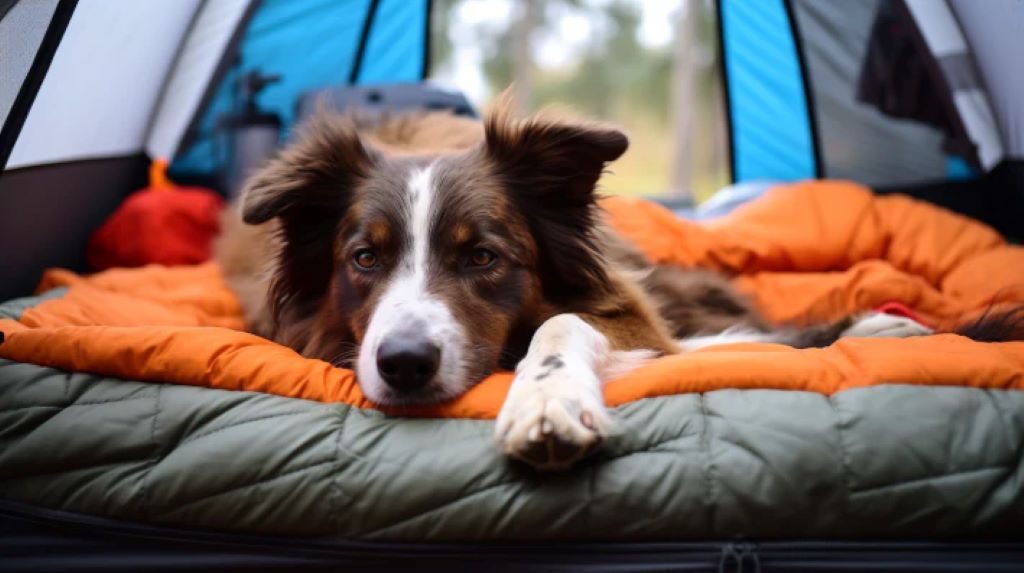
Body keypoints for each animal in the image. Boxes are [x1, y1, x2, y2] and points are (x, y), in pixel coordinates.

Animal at [218, 99, 966, 470]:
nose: (403, 363)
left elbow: (566, 326)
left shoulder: (620, 306)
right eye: (365, 258)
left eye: (483, 256)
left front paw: (547, 400)